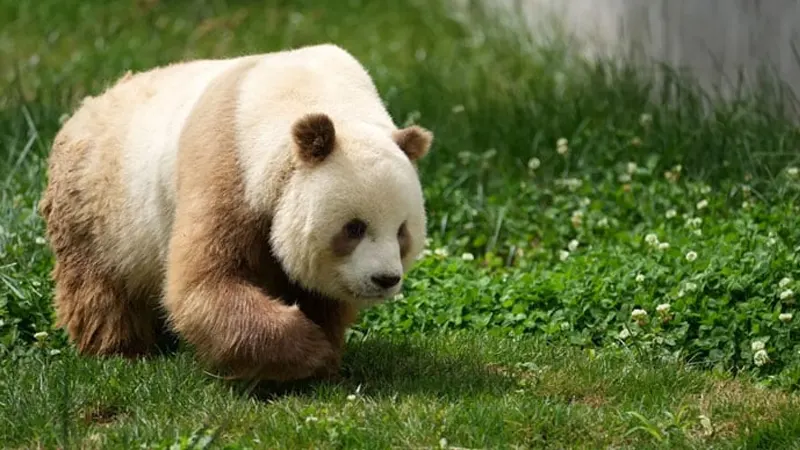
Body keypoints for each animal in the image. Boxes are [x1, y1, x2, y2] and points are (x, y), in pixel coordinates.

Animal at [38, 44, 434, 382]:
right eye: (354, 228)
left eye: (402, 231)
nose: (385, 279)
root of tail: (85, 107)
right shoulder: (228, 161)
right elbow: (205, 282)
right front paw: (308, 351)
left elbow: (319, 295)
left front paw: (324, 354)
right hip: (98, 208)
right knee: (99, 288)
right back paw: (121, 349)